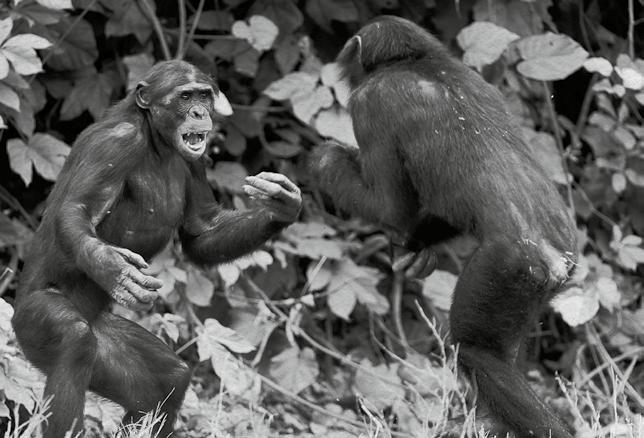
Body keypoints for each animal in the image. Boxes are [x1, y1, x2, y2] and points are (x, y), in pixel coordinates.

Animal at [12, 59, 304, 438]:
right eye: (185, 97)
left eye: (204, 95)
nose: (199, 111)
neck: (155, 142)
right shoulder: (114, 144)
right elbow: (78, 210)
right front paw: (112, 268)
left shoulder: (195, 162)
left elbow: (202, 232)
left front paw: (279, 206)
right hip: (31, 324)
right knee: (74, 340)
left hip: (107, 345)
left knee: (168, 380)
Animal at [308, 15, 580, 436]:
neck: (413, 61)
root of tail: (554, 260)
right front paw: (415, 250)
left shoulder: (369, 104)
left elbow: (391, 206)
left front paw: (325, 159)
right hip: (539, 286)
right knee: (505, 354)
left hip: (504, 272)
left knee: (478, 352)